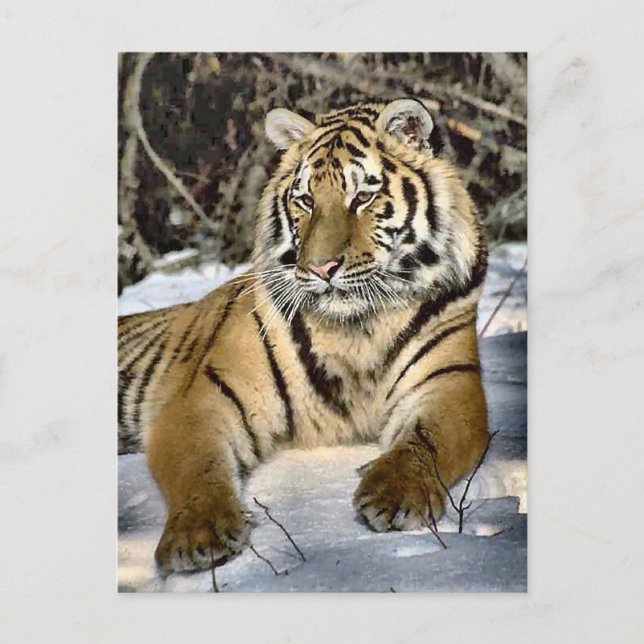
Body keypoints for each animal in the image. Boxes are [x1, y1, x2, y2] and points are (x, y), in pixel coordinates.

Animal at [118, 97, 489, 573]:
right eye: (306, 201)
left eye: (362, 197)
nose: (320, 268)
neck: (356, 327)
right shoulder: (202, 398)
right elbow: (197, 467)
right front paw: (199, 535)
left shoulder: (449, 385)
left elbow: (426, 442)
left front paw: (393, 494)